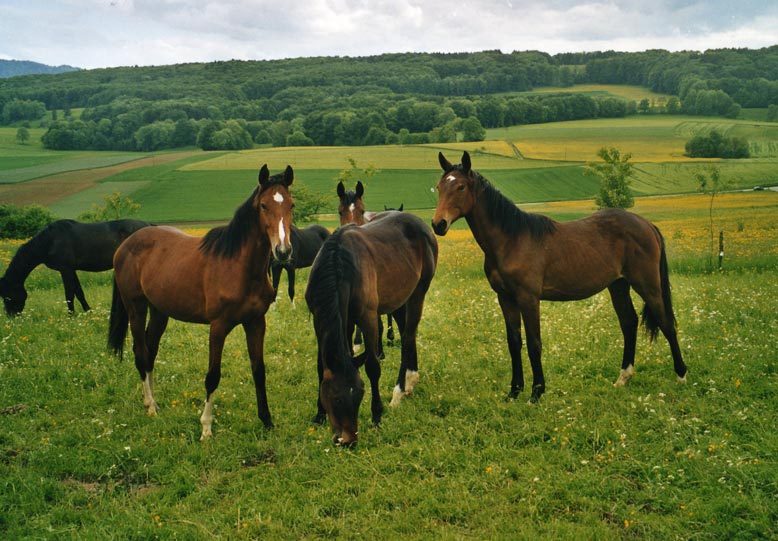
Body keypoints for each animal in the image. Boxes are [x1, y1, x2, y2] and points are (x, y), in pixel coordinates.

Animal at [0, 218, 151, 316]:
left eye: (7, 296)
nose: (10, 316)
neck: (50, 241)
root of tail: (148, 224)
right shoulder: (72, 270)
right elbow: (78, 291)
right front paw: (88, 310)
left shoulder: (65, 269)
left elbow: (69, 293)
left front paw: (71, 314)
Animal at [108, 165, 294, 440]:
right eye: (264, 206)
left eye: (291, 205)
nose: (283, 251)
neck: (238, 266)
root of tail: (125, 245)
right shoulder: (218, 327)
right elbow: (213, 376)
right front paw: (206, 427)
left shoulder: (256, 323)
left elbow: (259, 371)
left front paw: (267, 421)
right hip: (136, 308)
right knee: (141, 353)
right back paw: (150, 406)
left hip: (159, 312)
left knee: (151, 352)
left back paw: (154, 403)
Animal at [305, 211, 438, 446]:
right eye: (336, 398)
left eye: (360, 393)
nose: (348, 440)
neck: (338, 265)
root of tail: (421, 226)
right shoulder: (324, 319)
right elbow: (322, 367)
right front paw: (319, 414)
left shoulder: (367, 318)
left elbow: (372, 367)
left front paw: (377, 416)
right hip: (398, 301)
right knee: (407, 333)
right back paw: (410, 383)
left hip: (418, 293)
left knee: (407, 337)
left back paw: (400, 390)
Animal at [431, 151, 687, 403]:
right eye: (439, 186)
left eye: (460, 187)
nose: (438, 224)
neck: (511, 240)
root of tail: (647, 225)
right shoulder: (505, 298)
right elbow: (514, 343)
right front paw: (514, 391)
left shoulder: (528, 299)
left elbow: (534, 344)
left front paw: (536, 392)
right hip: (618, 285)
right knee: (629, 322)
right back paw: (623, 378)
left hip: (647, 284)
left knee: (666, 322)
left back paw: (681, 376)